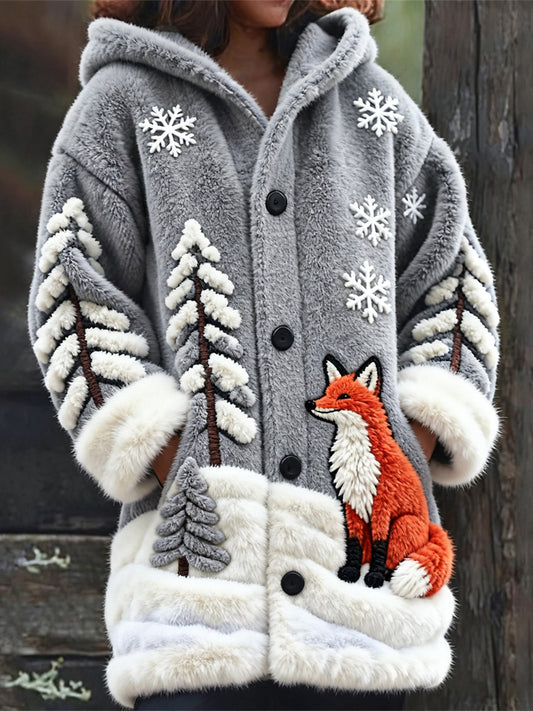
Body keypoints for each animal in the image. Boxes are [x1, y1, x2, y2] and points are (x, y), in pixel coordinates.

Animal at [305, 355, 454, 599]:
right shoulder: (351, 502)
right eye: (326, 391)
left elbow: (380, 544)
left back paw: (387, 574)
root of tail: (429, 528)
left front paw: (373, 576)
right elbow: (354, 541)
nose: (310, 404)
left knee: (396, 559)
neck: (357, 455)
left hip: (404, 523)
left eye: (343, 396)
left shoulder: (383, 504)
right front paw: (351, 571)